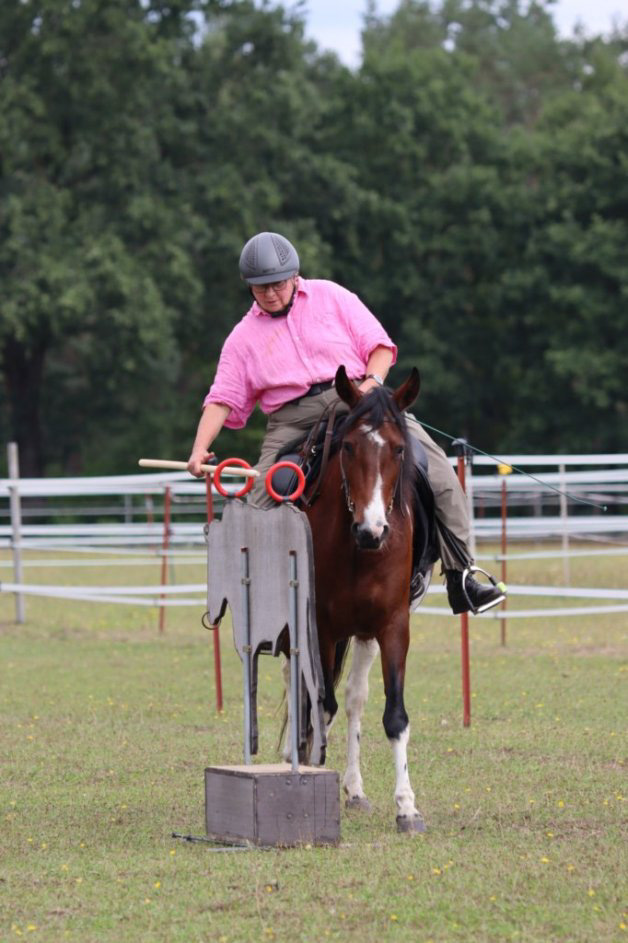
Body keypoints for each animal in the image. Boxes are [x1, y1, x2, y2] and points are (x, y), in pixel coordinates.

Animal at [288, 362, 430, 832]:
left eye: (400, 450)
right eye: (348, 447)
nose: (372, 530)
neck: (359, 553)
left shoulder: (393, 627)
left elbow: (394, 716)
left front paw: (407, 807)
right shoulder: (321, 628)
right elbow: (320, 705)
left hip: (364, 635)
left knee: (354, 700)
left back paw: (355, 790)